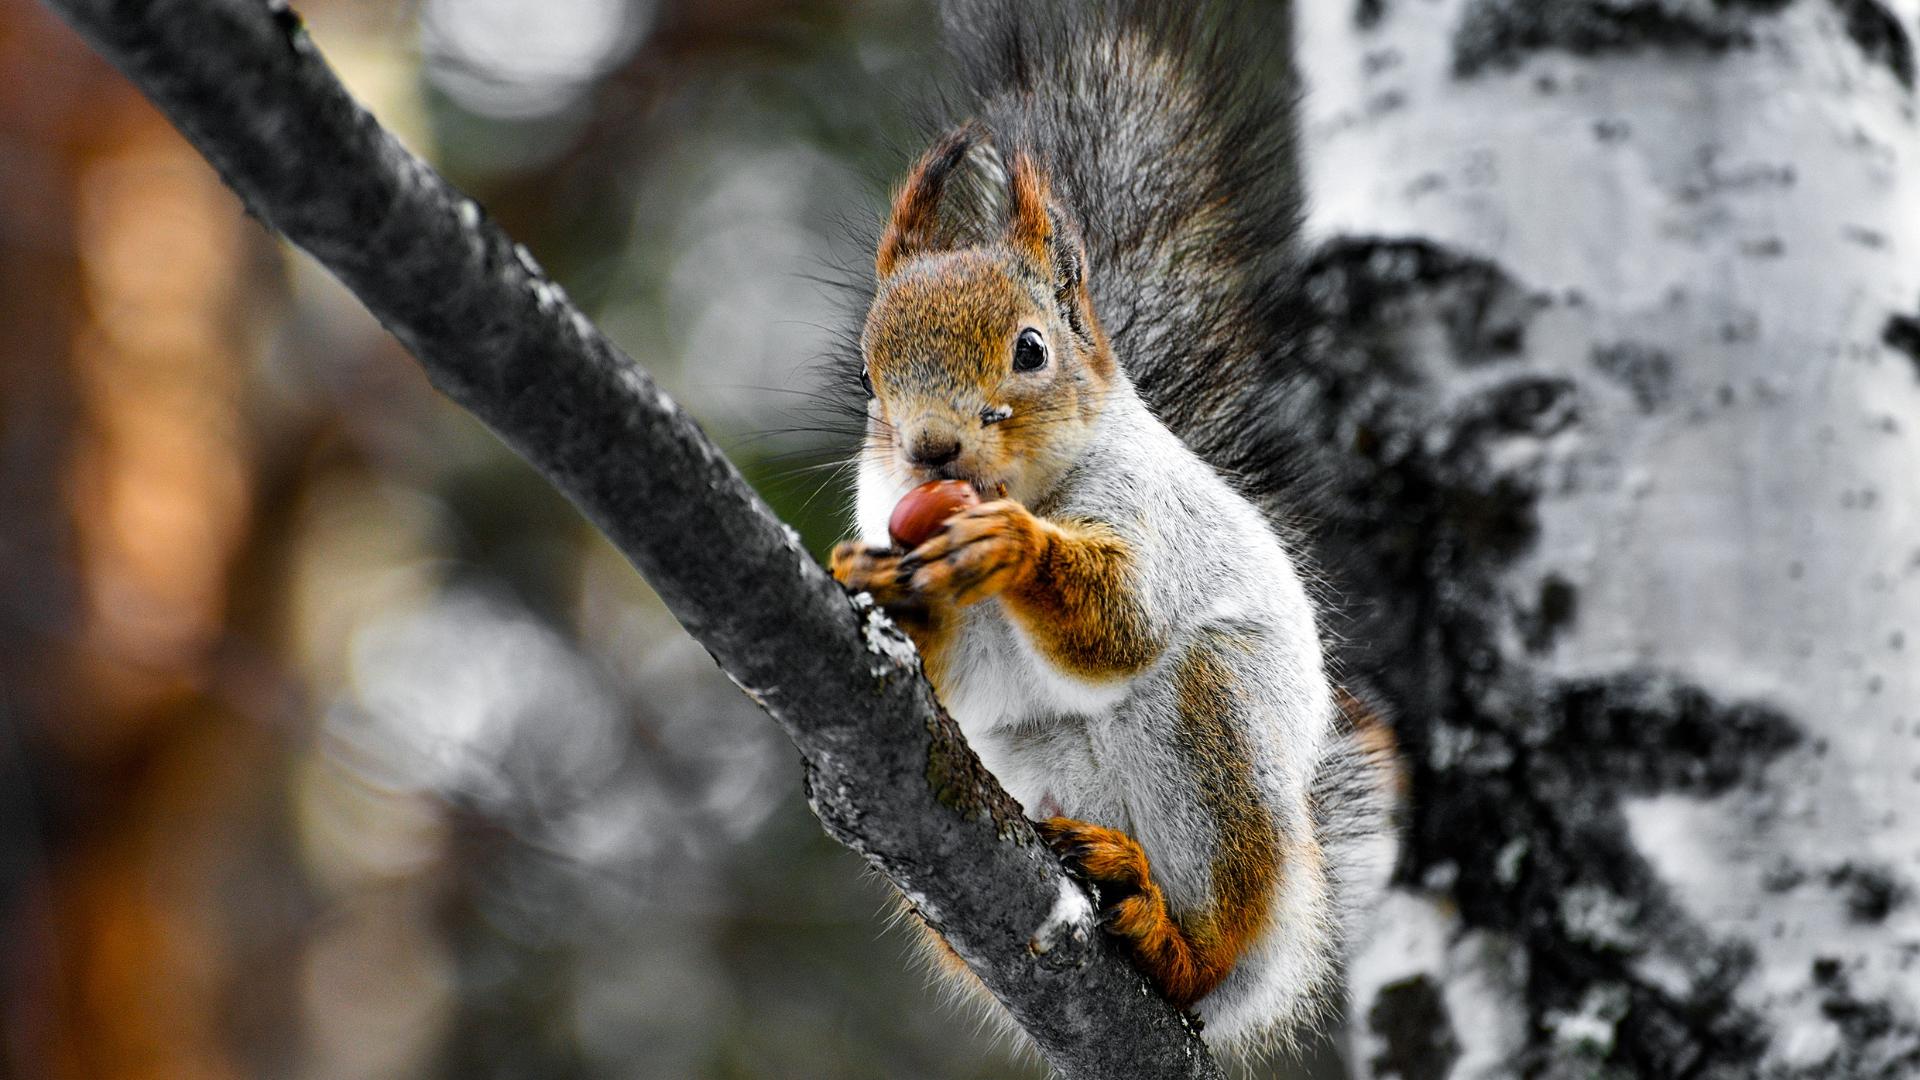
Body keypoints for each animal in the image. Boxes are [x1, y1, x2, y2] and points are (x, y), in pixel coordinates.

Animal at [825, 0, 1397, 1053]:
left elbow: (1121, 622)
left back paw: (1167, 931)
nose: (930, 451)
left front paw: (1011, 546)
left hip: (1212, 736)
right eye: (868, 376)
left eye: (1031, 349)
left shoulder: (1149, 512)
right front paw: (876, 579)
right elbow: (956, 676)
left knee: (1212, 926)